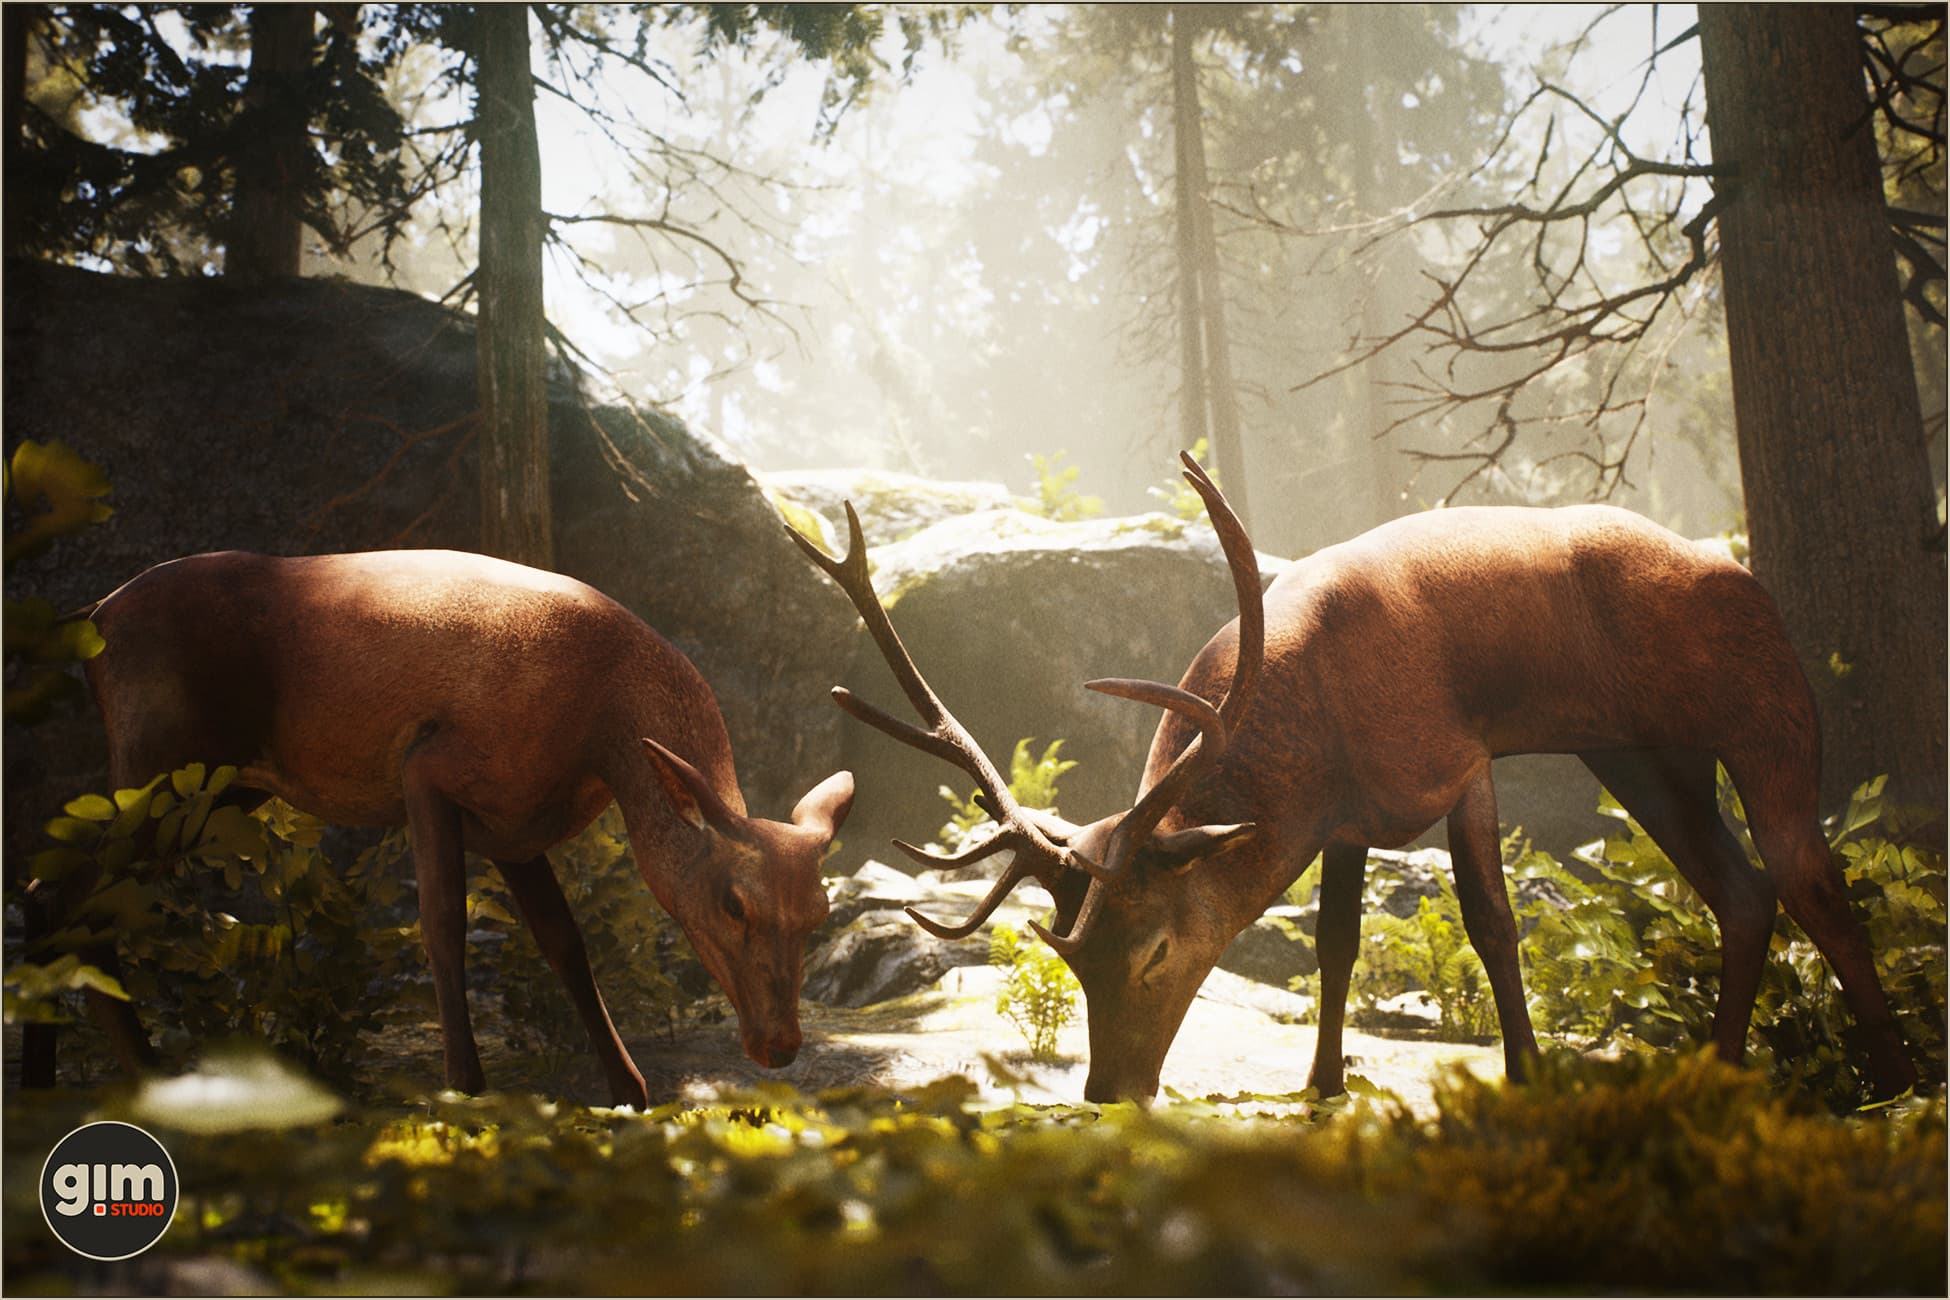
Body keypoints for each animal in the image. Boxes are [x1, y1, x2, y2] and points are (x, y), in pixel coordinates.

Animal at [23, 548, 853, 1107]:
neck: (602, 738)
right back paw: (134, 1077)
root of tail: (92, 622)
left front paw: (629, 1090)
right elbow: (442, 923)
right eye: (733, 903)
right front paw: (467, 1088)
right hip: (162, 762)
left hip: (222, 791)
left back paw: (67, 1081)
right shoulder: (430, 766)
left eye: (820, 913)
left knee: (63, 890)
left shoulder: (511, 827)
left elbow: (564, 942)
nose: (780, 1045)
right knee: (58, 890)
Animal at [790, 452, 1919, 1105]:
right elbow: (1334, 944)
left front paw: (1526, 1071)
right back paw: (1723, 1069)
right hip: (1644, 754)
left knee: (1813, 875)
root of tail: (1748, 579)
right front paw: (1322, 1081)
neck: (1311, 735)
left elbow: (1490, 921)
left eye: (1154, 950)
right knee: (1744, 889)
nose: (1107, 1092)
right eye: (1069, 956)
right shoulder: (1341, 820)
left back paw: (1895, 1076)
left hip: (1767, 715)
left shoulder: (1456, 759)